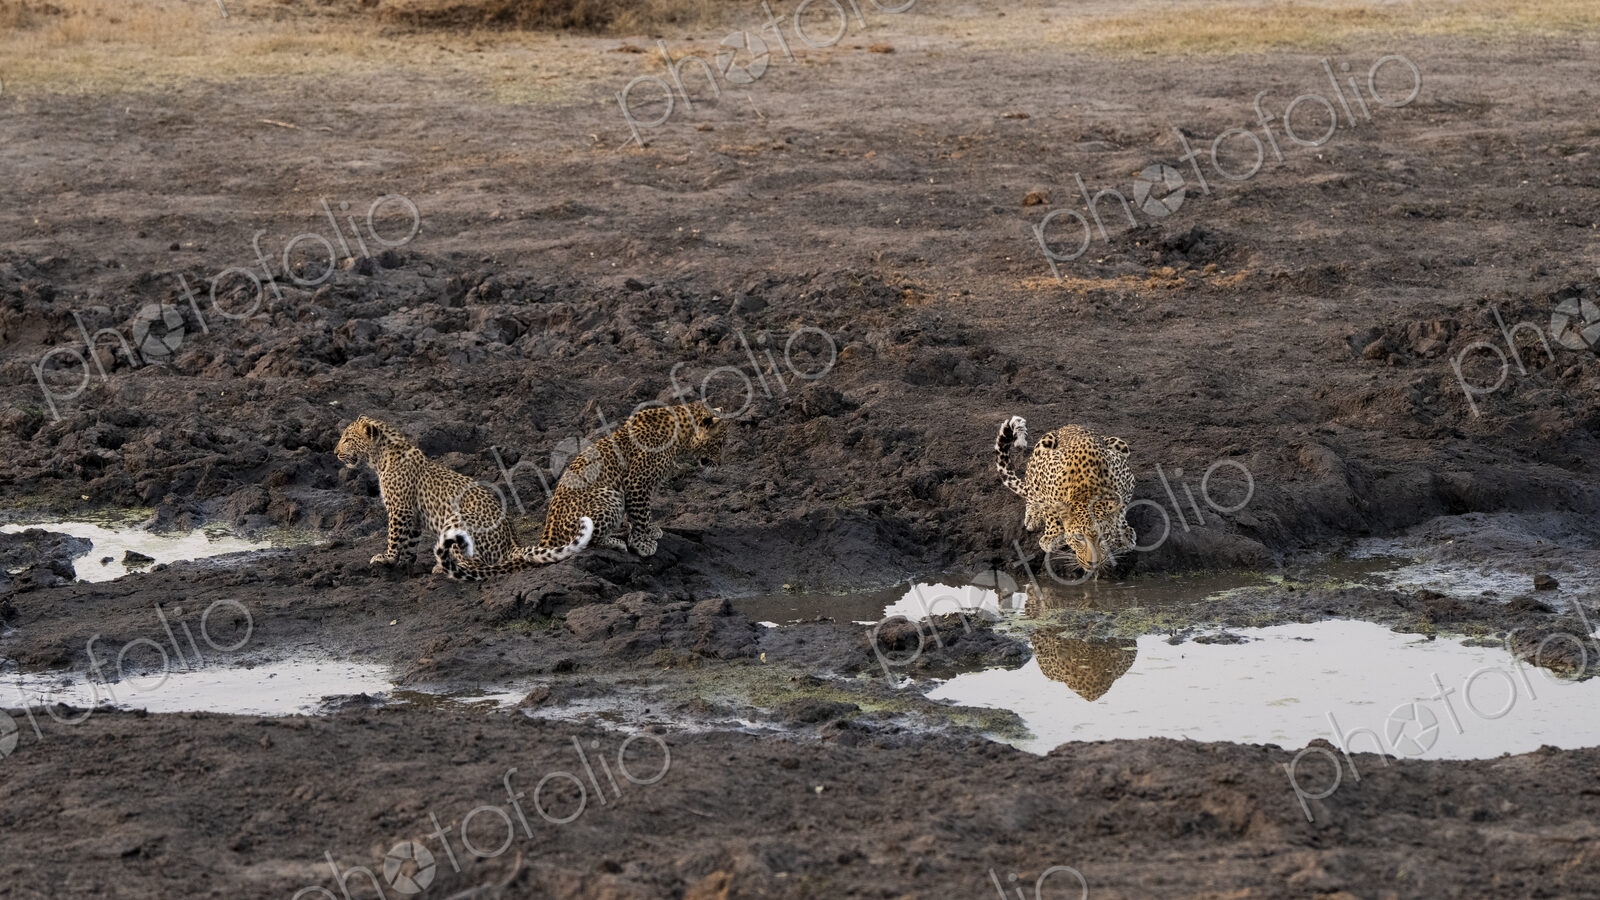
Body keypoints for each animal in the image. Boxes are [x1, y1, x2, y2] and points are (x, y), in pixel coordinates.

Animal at [334, 416, 593, 581]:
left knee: (476, 565)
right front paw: (404, 563)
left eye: (347, 439)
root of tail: (512, 544)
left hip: (457, 520)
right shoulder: (413, 515)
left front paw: (386, 558)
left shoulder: (400, 509)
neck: (380, 457)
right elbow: (409, 543)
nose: (335, 452)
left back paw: (442, 568)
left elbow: (394, 538)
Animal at [525, 402, 729, 561]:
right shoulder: (637, 481)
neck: (680, 436)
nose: (720, 463)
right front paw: (641, 544)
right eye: (720, 444)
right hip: (609, 496)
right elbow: (641, 515)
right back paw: (616, 543)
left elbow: (642, 513)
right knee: (585, 543)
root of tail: (547, 536)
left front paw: (650, 530)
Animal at [995, 415, 1136, 579]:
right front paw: (1052, 536)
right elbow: (1049, 509)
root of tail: (1070, 425)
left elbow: (1121, 508)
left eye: (1104, 537)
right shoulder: (1046, 477)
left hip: (1120, 444)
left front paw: (1123, 534)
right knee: (1031, 493)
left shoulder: (1127, 479)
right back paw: (1033, 515)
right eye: (1079, 538)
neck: (1086, 492)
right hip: (1041, 449)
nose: (1093, 564)